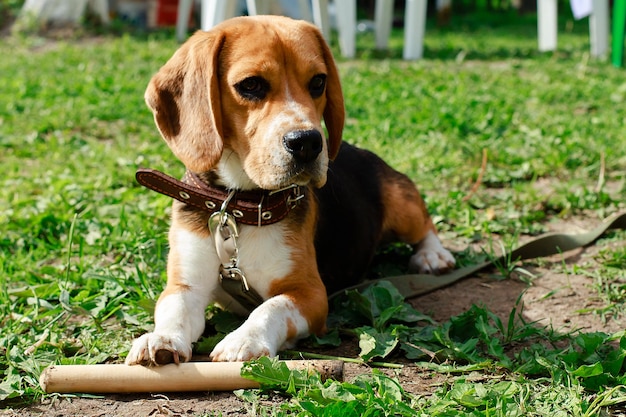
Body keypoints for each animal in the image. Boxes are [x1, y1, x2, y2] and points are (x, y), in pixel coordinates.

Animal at [123, 15, 454, 364]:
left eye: (318, 82)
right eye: (250, 85)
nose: (308, 142)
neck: (240, 206)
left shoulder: (310, 294)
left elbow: (270, 308)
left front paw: (244, 339)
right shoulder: (185, 285)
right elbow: (173, 310)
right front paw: (160, 338)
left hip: (402, 205)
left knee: (425, 226)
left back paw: (433, 255)